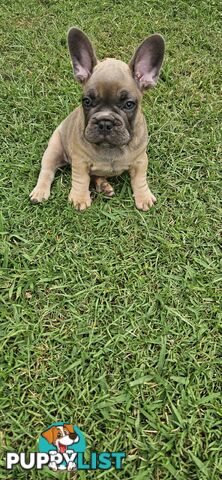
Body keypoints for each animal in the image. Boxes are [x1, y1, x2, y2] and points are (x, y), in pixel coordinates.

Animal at [29, 27, 164, 211]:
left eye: (129, 104)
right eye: (86, 101)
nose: (105, 122)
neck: (111, 149)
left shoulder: (141, 161)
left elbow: (139, 179)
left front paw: (143, 197)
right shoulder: (80, 162)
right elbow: (81, 179)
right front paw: (79, 198)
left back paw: (103, 185)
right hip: (54, 148)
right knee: (47, 171)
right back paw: (40, 191)